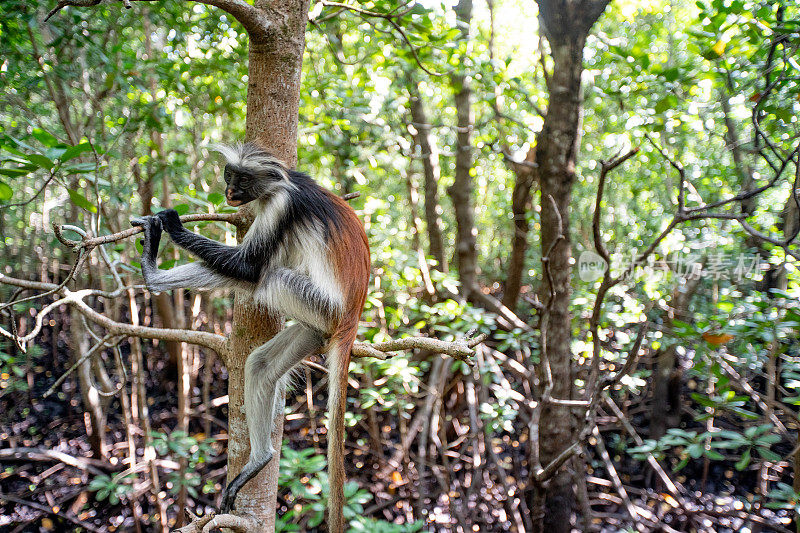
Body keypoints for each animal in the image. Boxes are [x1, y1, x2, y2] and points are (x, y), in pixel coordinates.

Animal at [133, 141, 370, 528]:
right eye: (231, 175)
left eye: (243, 180)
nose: (230, 191)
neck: (284, 181)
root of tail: (350, 318)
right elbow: (246, 270)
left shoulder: (280, 206)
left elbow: (249, 267)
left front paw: (173, 226)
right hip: (315, 323)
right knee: (260, 363)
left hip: (322, 307)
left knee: (267, 275)